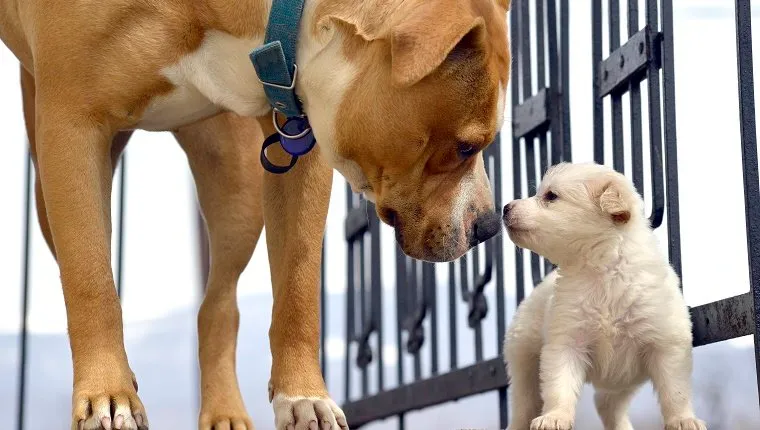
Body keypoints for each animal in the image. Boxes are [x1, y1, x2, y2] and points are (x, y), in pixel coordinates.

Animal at [1, 0, 510, 430]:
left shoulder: (298, 132)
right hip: (51, 188)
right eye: (466, 146)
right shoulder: (71, 127)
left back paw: (224, 411)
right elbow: (90, 279)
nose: (488, 226)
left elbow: (298, 281)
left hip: (235, 186)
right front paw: (109, 393)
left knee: (218, 304)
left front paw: (304, 397)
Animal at [502, 162, 704, 430]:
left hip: (624, 378)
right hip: (523, 357)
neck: (602, 271)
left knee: (607, 403)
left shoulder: (666, 343)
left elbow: (675, 390)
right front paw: (555, 417)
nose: (505, 207)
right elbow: (559, 387)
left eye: (551, 196)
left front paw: (683, 420)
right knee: (524, 405)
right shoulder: (566, 342)